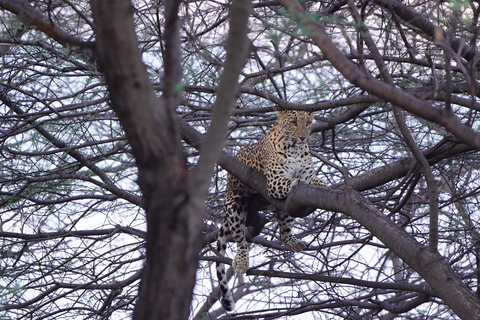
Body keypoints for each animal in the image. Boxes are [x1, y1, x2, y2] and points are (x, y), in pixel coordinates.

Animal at [217, 109, 326, 310]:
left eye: (308, 123)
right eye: (293, 122)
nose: (303, 137)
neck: (296, 149)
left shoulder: (309, 175)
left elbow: (317, 181)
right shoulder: (275, 181)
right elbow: (292, 181)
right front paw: (296, 183)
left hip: (284, 211)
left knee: (284, 234)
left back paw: (294, 242)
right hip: (234, 205)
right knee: (240, 239)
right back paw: (241, 261)